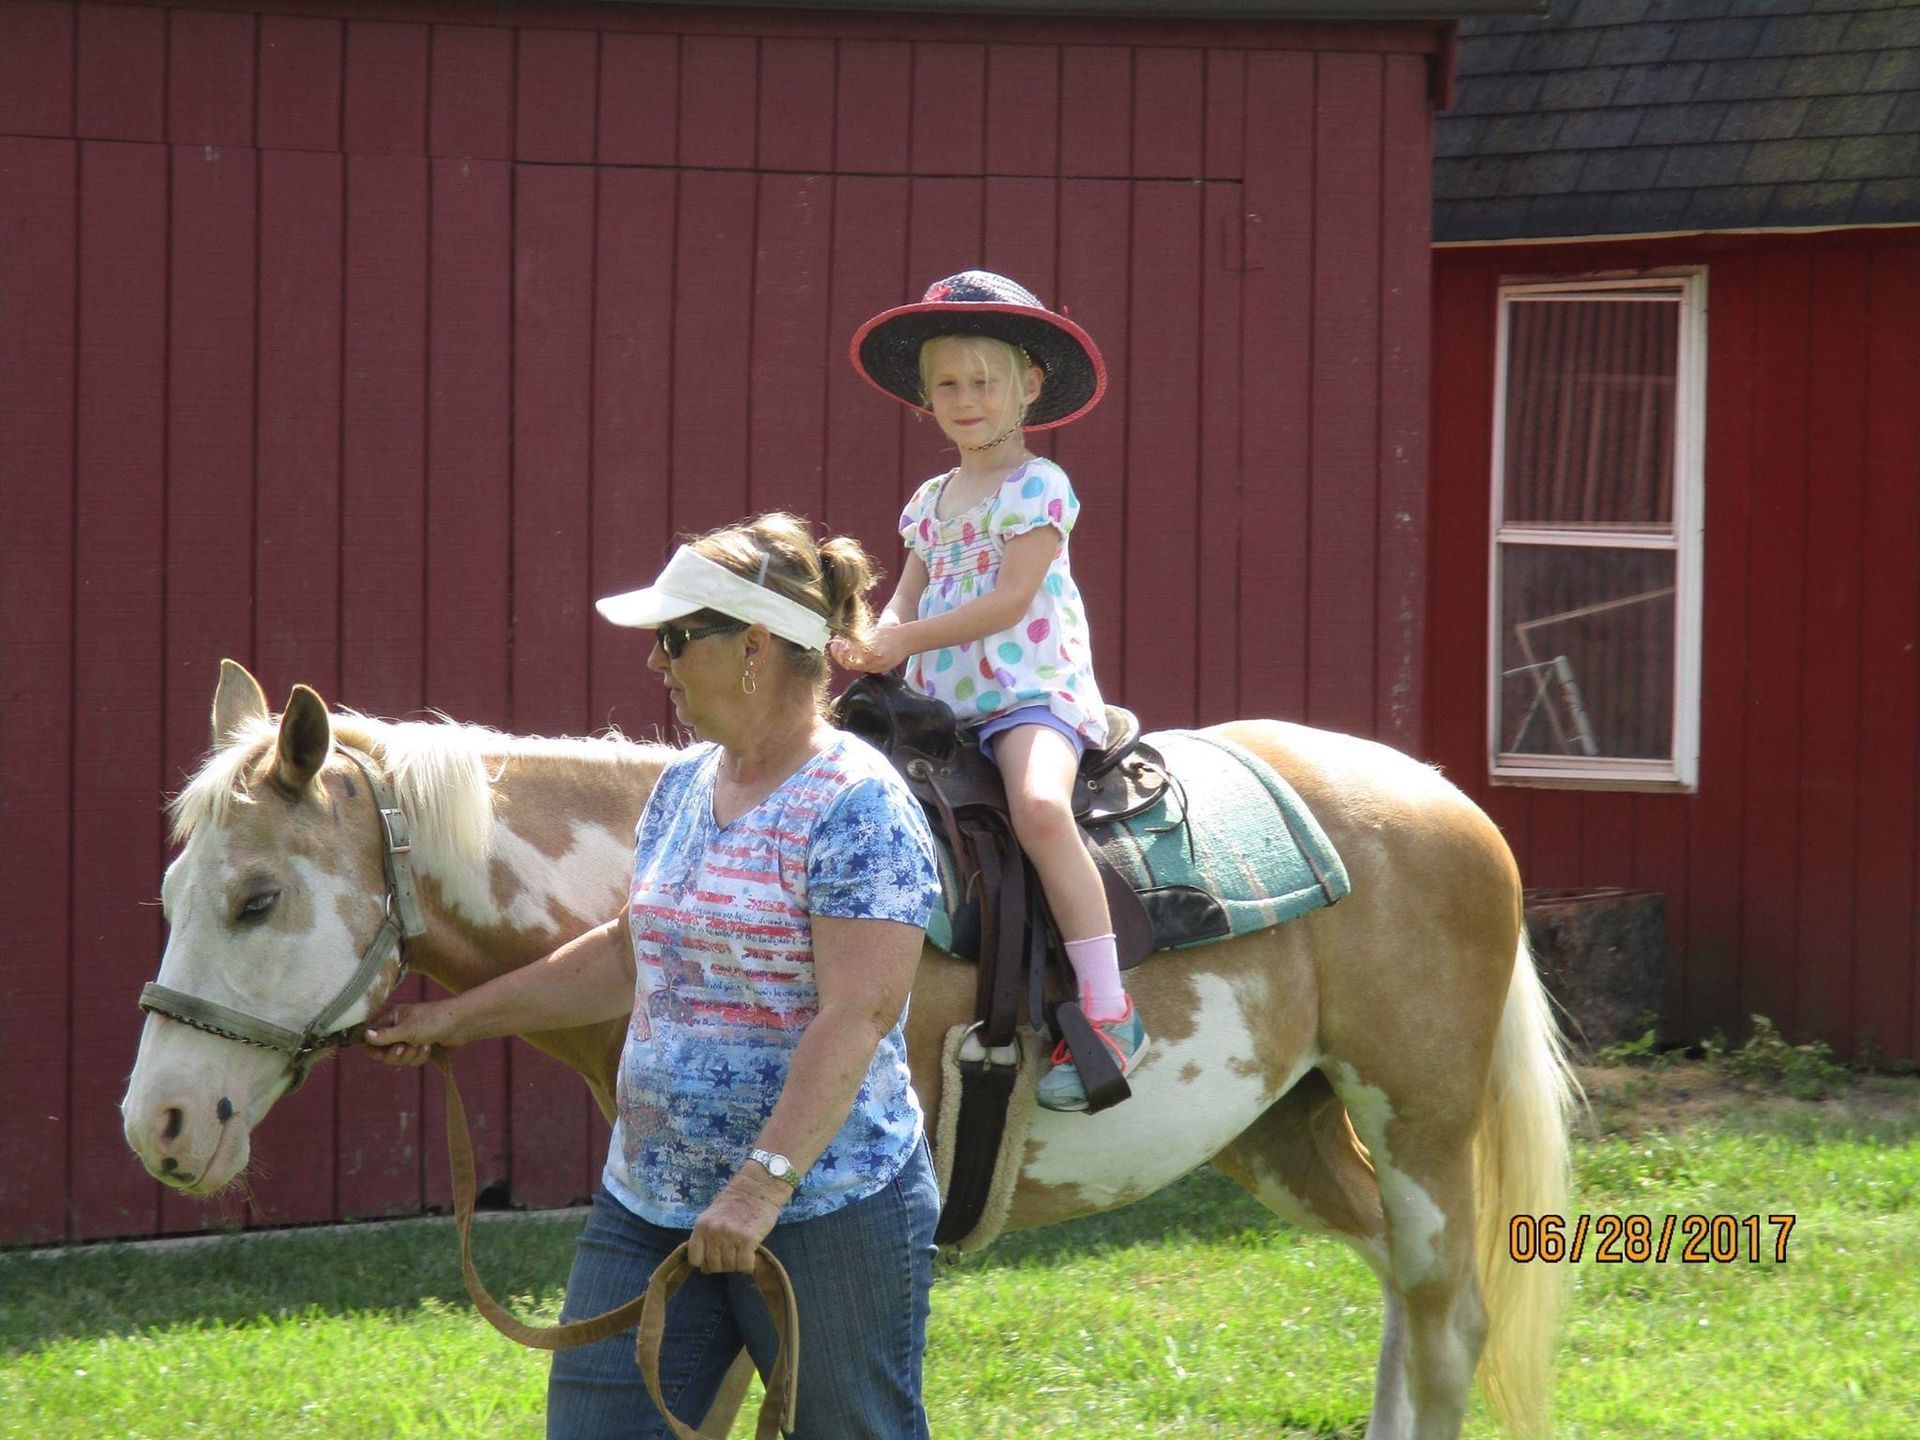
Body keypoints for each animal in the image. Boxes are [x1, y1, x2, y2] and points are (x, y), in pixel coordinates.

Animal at [123, 660, 1576, 1440]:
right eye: (175, 885)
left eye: (257, 898)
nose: (162, 1127)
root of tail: (1443, 801)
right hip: (1286, 1134)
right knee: (1404, 1302)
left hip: (1420, 1126)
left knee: (1448, 1321)